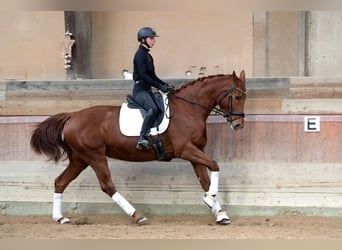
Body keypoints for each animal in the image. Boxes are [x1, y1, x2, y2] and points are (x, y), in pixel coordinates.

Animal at [30, 70, 246, 225]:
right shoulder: (186, 150)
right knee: (107, 185)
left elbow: (205, 181)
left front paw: (219, 212)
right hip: (94, 156)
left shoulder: (195, 152)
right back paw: (137, 215)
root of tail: (72, 116)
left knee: (60, 182)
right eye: (237, 97)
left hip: (80, 158)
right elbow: (215, 165)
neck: (189, 109)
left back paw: (60, 218)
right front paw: (210, 201)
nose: (238, 125)